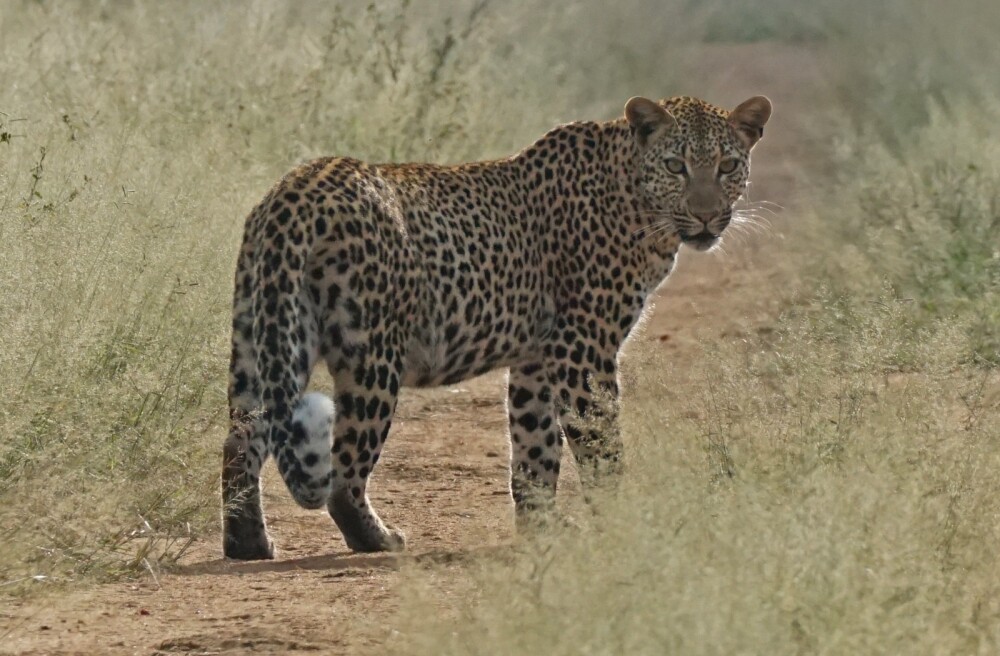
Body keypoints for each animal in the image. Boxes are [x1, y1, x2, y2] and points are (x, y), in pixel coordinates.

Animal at [222, 94, 772, 559]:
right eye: (676, 166)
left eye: (726, 166)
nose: (706, 216)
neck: (636, 200)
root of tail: (298, 188)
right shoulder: (583, 348)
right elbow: (600, 443)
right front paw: (622, 522)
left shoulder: (537, 357)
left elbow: (535, 447)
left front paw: (541, 526)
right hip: (371, 353)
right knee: (343, 470)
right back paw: (378, 539)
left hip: (262, 335)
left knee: (240, 441)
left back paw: (247, 542)